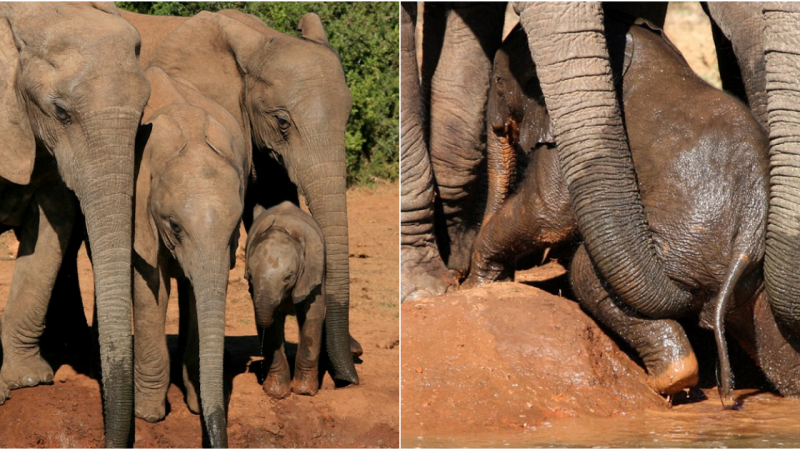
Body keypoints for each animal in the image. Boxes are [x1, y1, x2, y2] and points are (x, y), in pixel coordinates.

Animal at [130, 65, 248, 444]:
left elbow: (203, 292)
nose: (215, 435)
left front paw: (197, 404)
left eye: (235, 228)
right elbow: (149, 286)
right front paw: (148, 415)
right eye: (174, 226)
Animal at [247, 200, 328, 398]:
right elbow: (270, 328)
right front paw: (276, 393)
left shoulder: (313, 272)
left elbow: (313, 317)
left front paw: (304, 392)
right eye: (250, 276)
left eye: (287, 277)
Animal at [466, 18, 772, 404]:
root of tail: (749, 234)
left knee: (587, 272)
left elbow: (547, 210)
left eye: (497, 82)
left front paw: (473, 286)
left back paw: (669, 380)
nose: (504, 277)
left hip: (686, 244)